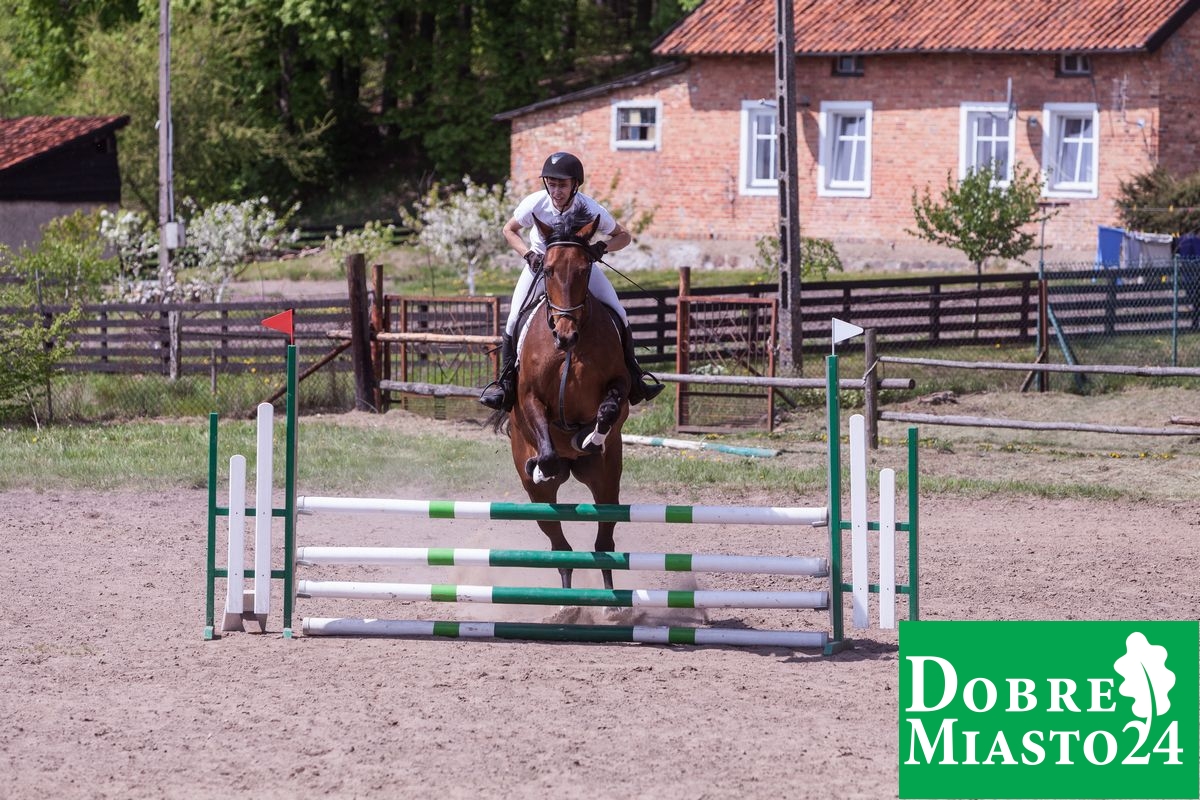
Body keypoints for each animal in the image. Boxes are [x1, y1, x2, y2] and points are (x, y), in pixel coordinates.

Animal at [490, 208, 631, 592]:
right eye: (549, 270)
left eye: (584, 269)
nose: (565, 335)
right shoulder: (528, 397)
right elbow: (545, 441)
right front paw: (542, 465)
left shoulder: (620, 387)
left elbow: (609, 409)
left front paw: (588, 437)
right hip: (539, 499)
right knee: (559, 547)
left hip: (606, 480)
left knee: (604, 542)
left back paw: (609, 602)